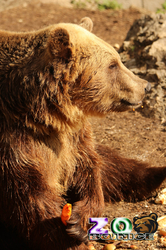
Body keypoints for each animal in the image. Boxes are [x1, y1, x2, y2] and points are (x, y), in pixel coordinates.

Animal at [0, 17, 165, 250]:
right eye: (112, 65)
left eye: (118, 60)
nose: (146, 86)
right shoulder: (16, 138)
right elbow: (29, 193)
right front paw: (69, 236)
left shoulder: (73, 136)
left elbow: (89, 166)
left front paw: (79, 220)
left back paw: (157, 176)